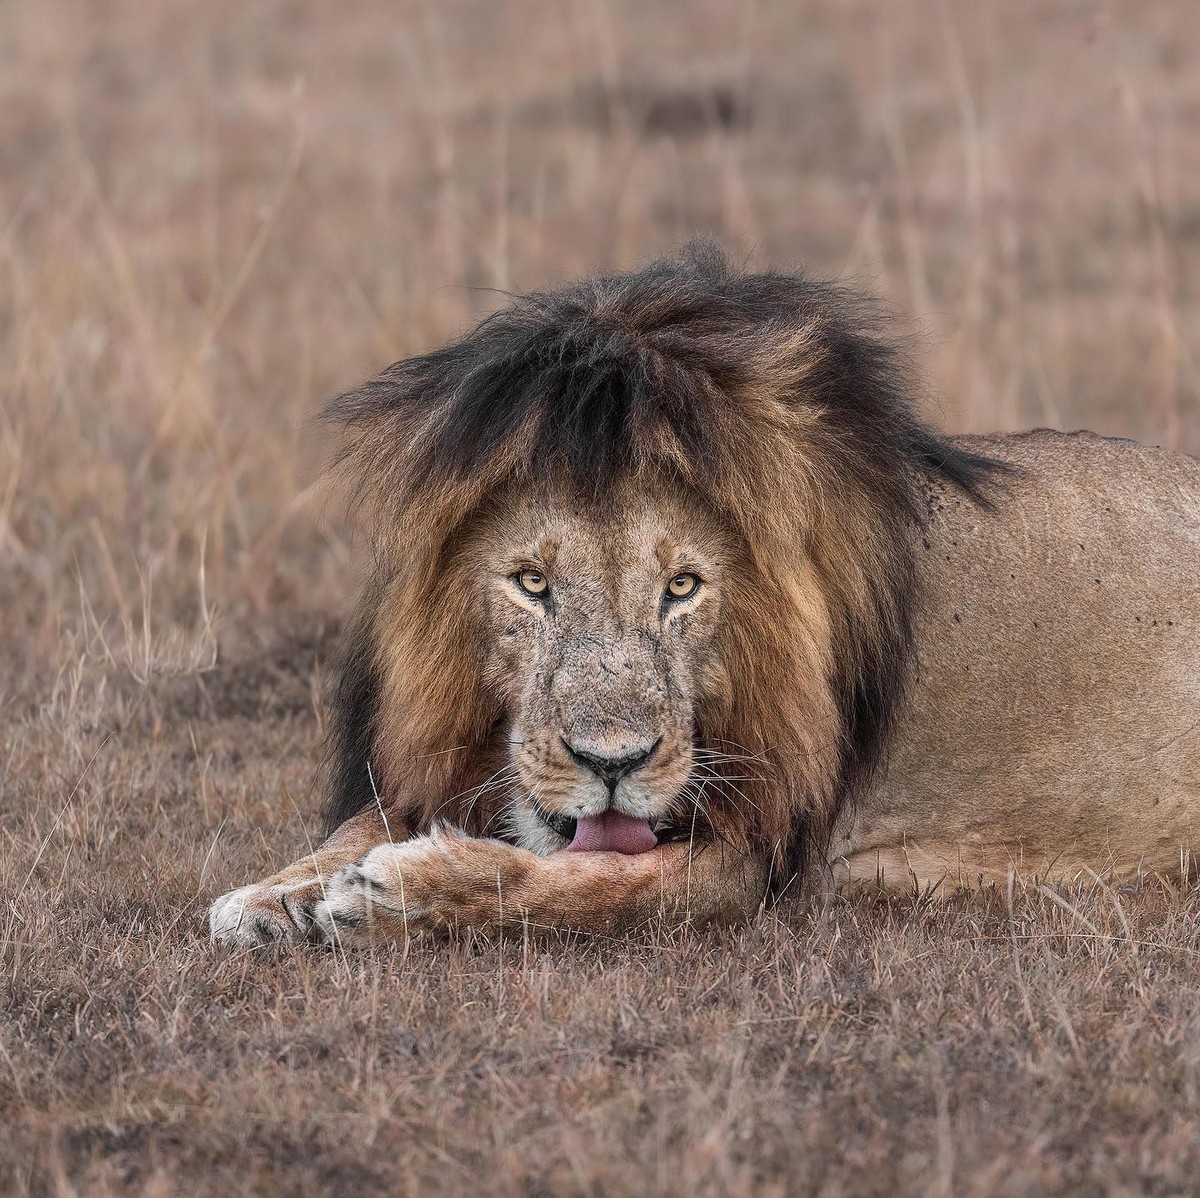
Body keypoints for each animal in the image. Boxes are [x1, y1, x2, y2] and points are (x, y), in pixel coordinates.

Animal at [208, 241, 1200, 945]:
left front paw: (399, 891)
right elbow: (367, 817)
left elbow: (595, 890)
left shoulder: (760, 855)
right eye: (533, 583)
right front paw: (275, 892)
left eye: (681, 588)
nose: (613, 764)